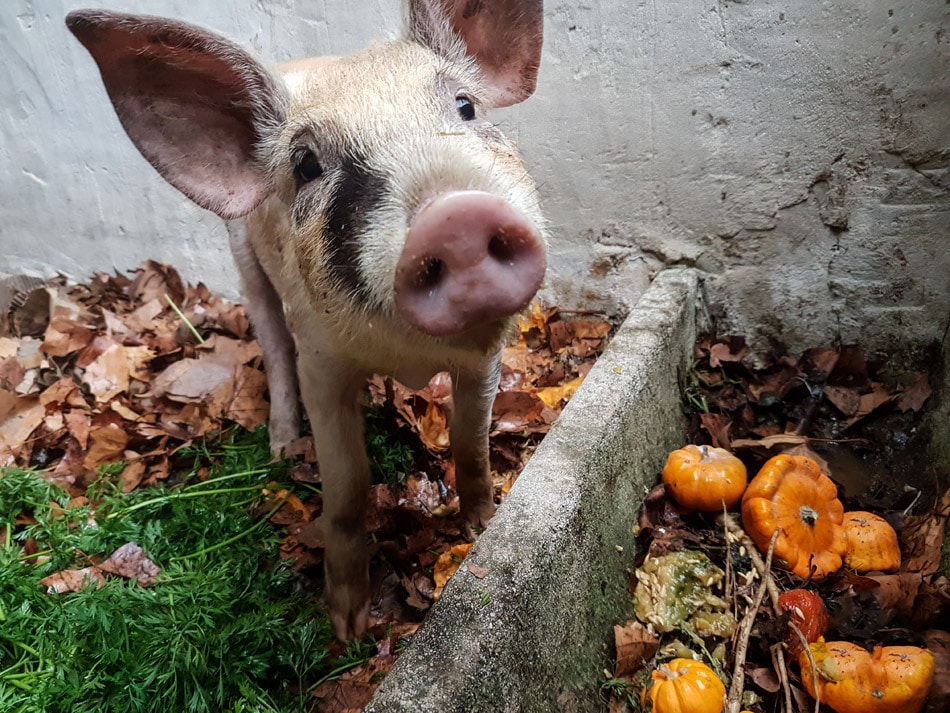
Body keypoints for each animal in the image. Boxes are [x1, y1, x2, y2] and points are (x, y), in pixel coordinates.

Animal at [67, 0, 548, 636]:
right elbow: (347, 487)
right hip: (245, 265)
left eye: (465, 106)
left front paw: (482, 525)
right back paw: (282, 449)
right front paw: (346, 626)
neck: (408, 355)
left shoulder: (486, 360)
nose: (456, 216)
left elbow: (471, 441)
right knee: (273, 350)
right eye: (306, 164)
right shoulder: (320, 362)